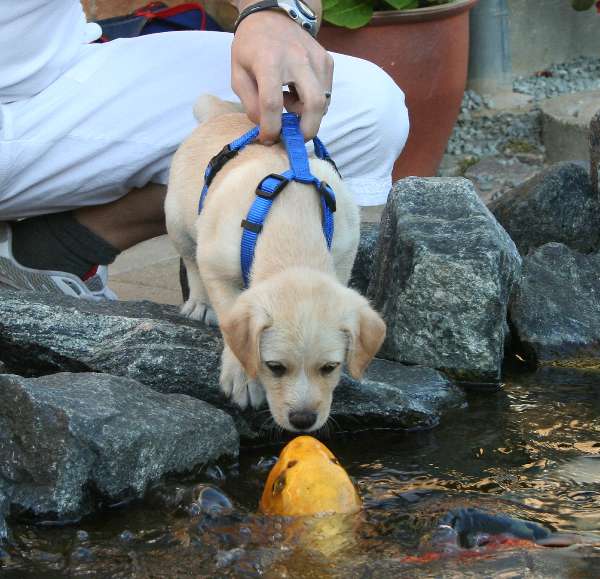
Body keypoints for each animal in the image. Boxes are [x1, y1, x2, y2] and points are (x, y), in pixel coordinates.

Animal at [166, 96, 386, 430]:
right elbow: (230, 316)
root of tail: (224, 113)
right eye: (274, 367)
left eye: (330, 367)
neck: (292, 227)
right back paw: (200, 304)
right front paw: (243, 377)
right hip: (178, 221)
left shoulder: (345, 253)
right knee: (191, 260)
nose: (303, 421)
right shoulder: (216, 264)